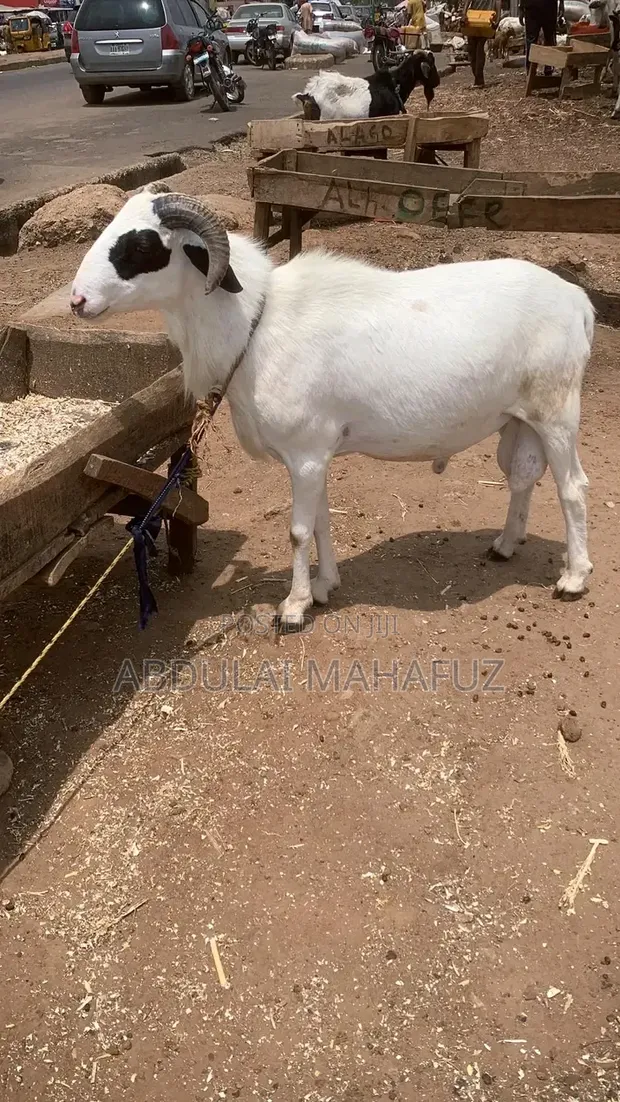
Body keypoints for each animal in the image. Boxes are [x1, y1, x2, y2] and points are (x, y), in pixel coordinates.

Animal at [70, 192, 594, 628]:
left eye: (142, 245)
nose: (77, 300)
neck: (256, 324)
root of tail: (578, 301)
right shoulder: (315, 455)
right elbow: (321, 520)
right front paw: (324, 586)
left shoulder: (305, 453)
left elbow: (299, 531)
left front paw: (294, 606)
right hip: (520, 420)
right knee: (523, 476)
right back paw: (505, 546)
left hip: (557, 411)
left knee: (571, 488)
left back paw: (574, 578)